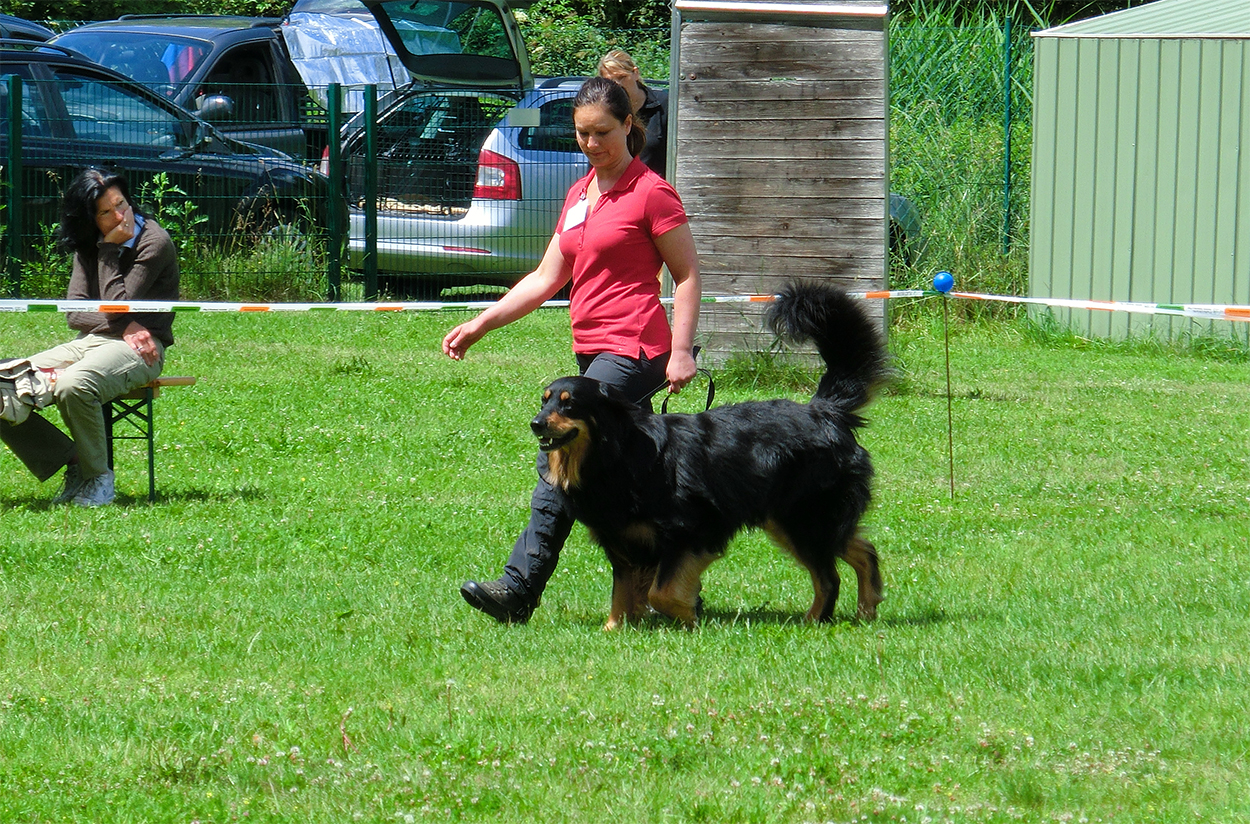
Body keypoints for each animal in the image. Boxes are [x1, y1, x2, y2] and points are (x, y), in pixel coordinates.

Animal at [531, 281, 890, 629]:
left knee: (829, 577)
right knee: (862, 549)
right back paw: (866, 608)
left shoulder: (692, 529)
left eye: (569, 404)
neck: (617, 453)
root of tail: (824, 410)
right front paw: (614, 630)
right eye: (544, 401)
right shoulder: (623, 543)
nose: (535, 424)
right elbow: (623, 595)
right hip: (789, 518)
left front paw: (687, 615)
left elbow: (661, 591)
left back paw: (815, 620)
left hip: (803, 517)